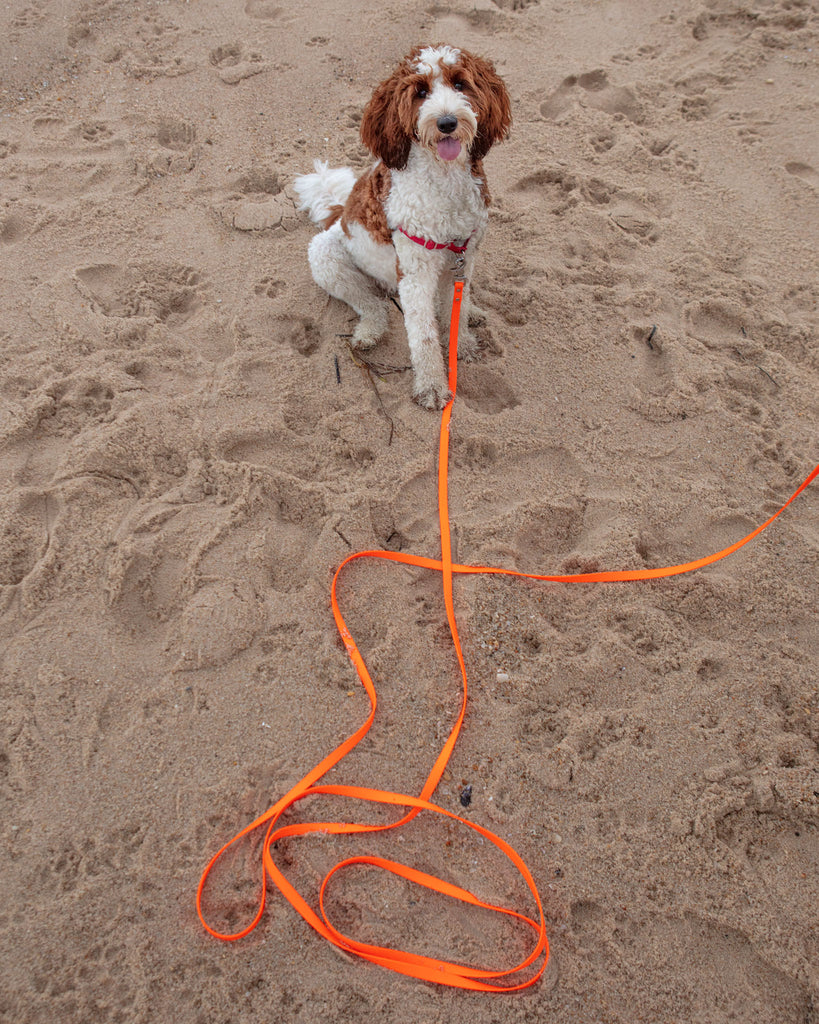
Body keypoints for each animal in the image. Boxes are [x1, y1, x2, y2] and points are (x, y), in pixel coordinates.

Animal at [294, 43, 511, 411]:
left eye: (460, 84)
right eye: (420, 92)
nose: (447, 122)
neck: (444, 180)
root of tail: (339, 213)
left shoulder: (464, 258)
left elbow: (455, 310)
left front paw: (462, 342)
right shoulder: (416, 273)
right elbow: (423, 336)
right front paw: (432, 387)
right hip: (327, 258)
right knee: (372, 305)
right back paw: (369, 331)